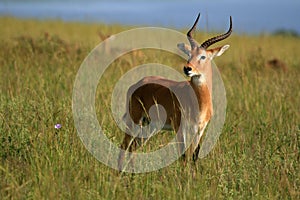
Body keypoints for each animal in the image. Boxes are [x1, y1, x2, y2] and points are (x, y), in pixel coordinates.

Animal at [117, 13, 232, 170]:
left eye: (203, 56)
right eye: (189, 54)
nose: (187, 68)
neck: (199, 103)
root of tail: (137, 84)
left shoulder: (199, 130)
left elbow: (194, 156)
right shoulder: (180, 127)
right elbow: (183, 156)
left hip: (149, 126)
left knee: (133, 147)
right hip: (134, 120)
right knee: (124, 146)